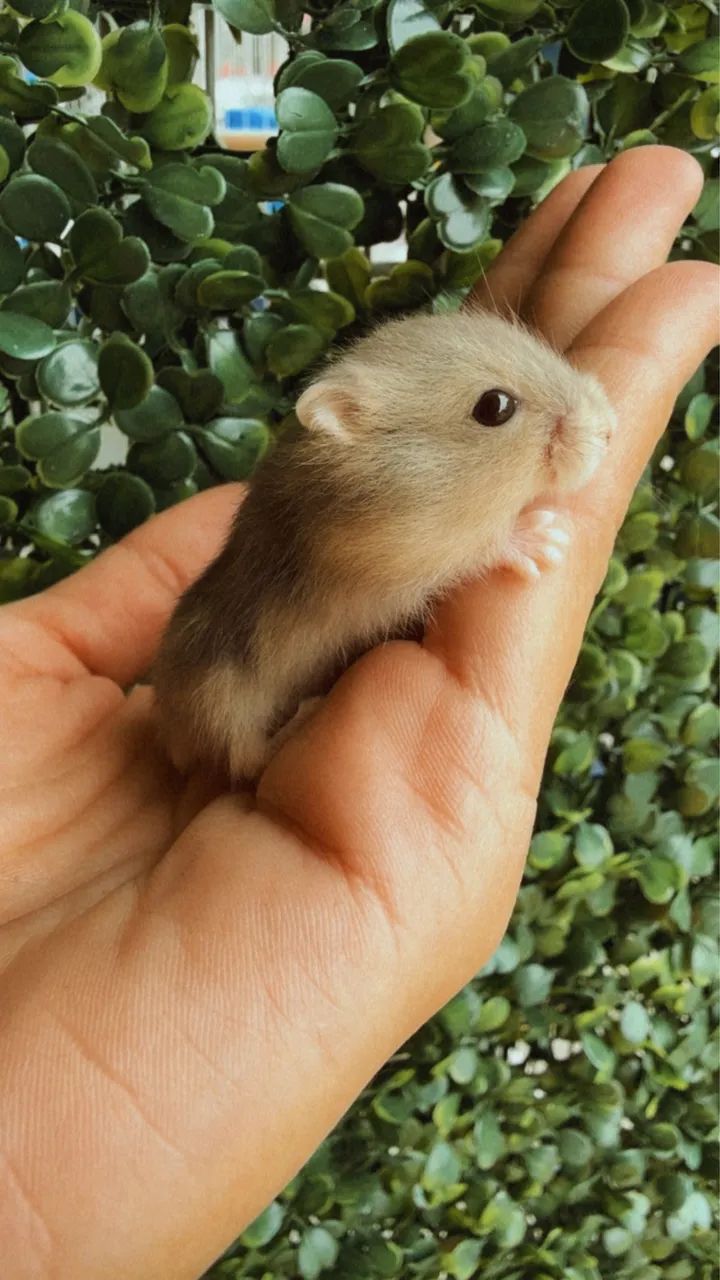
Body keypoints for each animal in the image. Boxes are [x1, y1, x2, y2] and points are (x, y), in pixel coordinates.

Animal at [152, 307, 616, 782]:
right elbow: (481, 546)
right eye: (494, 407)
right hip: (218, 699)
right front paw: (545, 538)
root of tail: (170, 740)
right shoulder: (400, 555)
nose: (607, 429)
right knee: (245, 757)